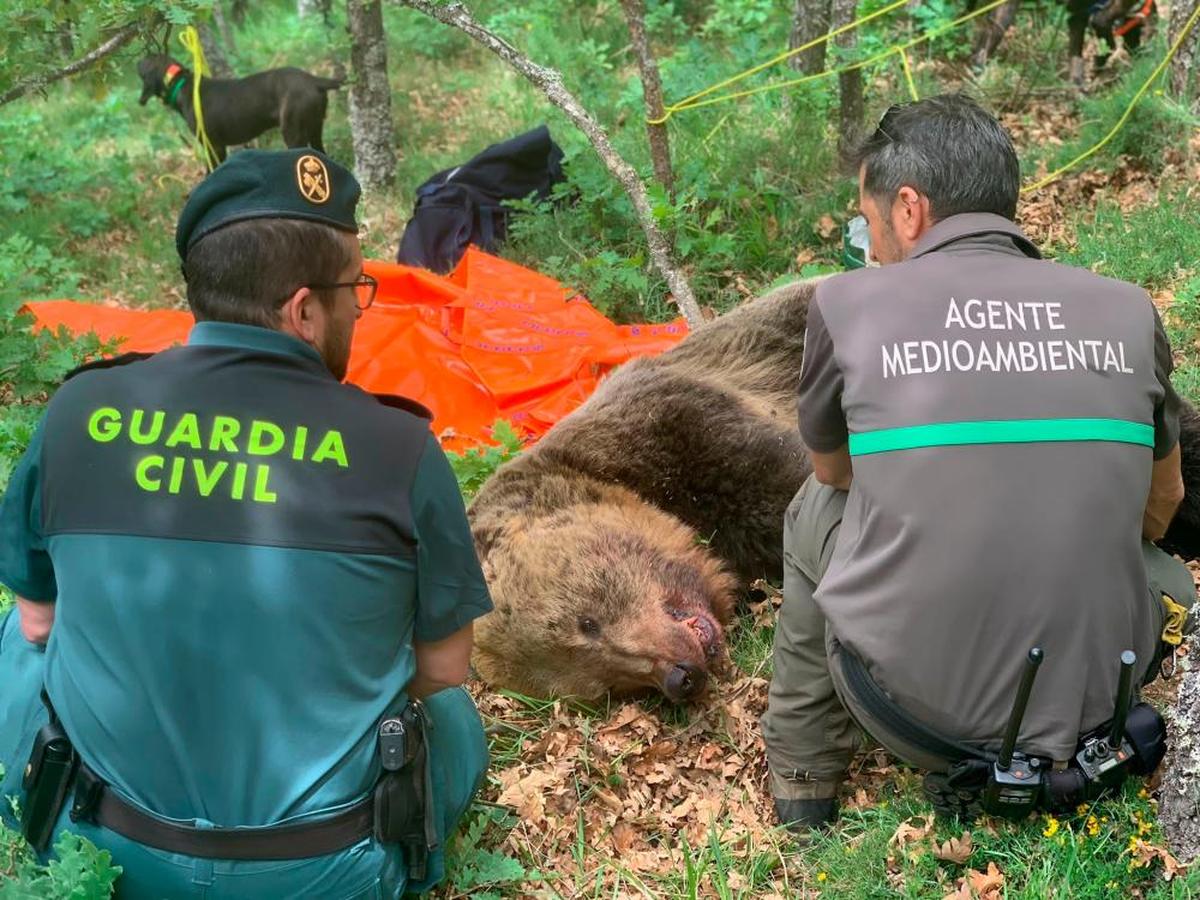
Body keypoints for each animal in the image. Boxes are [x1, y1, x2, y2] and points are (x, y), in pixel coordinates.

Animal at [137, 53, 343, 163]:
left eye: (146, 61)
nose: (138, 60)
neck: (181, 84)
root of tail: (314, 80)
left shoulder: (214, 147)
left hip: (293, 133)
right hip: (315, 129)